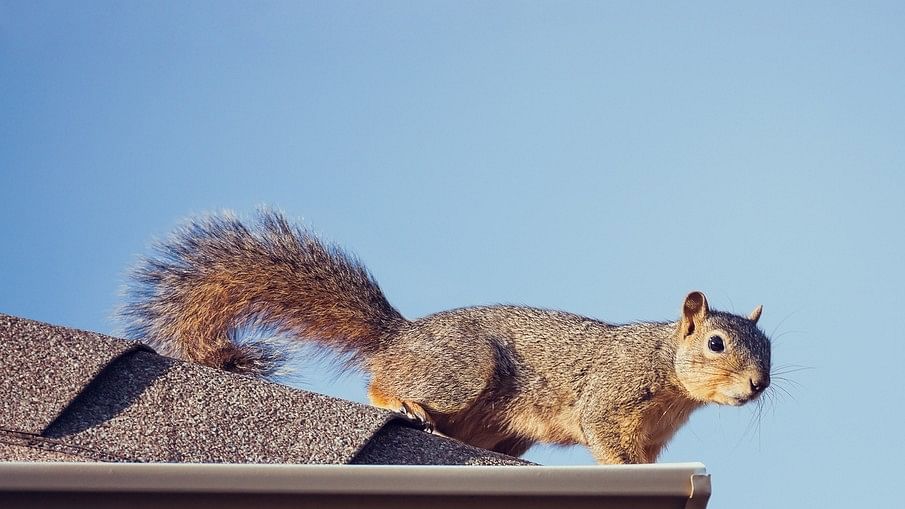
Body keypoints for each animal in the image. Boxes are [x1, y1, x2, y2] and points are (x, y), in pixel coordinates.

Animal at [118, 208, 768, 462]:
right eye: (716, 343)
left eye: (769, 349)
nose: (759, 385)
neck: (668, 370)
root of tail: (400, 337)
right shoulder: (611, 395)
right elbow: (604, 435)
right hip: (461, 370)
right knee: (381, 382)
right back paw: (402, 401)